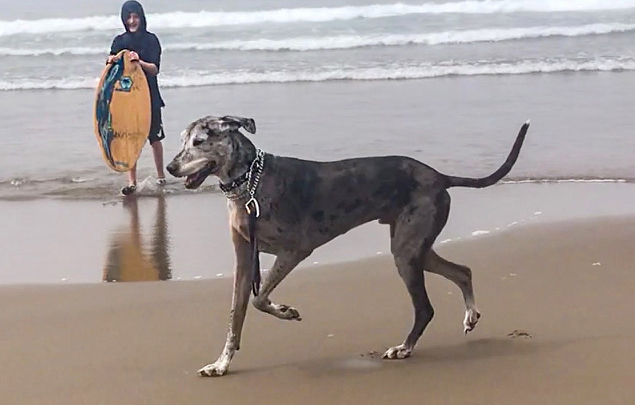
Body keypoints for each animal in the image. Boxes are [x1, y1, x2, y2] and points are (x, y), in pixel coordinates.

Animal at [166, 116, 528, 376]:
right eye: (182, 140)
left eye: (199, 142)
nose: (170, 167)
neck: (251, 184)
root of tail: (439, 176)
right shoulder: (244, 260)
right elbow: (236, 316)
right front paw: (221, 364)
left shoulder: (295, 250)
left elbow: (260, 299)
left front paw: (286, 311)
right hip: (414, 247)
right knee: (462, 271)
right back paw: (469, 316)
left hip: (407, 252)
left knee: (425, 308)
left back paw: (404, 348)